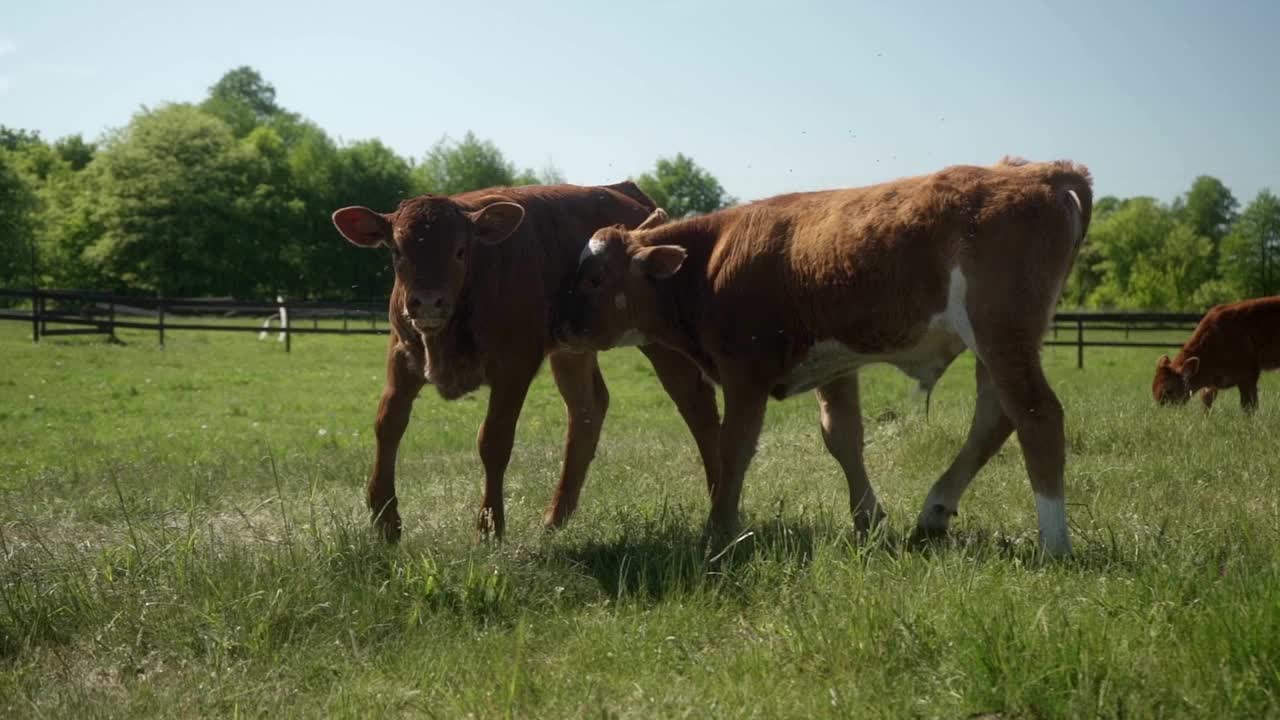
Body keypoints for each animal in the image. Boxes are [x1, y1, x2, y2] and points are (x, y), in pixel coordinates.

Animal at [330, 181, 721, 540]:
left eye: (460, 250)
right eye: (397, 250)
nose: (427, 302)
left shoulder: (514, 365)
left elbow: (494, 440)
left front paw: (489, 527)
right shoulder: (402, 354)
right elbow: (388, 424)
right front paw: (384, 519)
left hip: (661, 342)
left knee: (697, 407)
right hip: (573, 349)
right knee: (587, 408)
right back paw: (555, 517)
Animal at [560, 158, 1090, 556]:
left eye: (594, 278)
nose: (563, 327)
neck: (710, 262)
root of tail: (1043, 171)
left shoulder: (744, 373)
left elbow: (734, 448)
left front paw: (719, 530)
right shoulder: (836, 364)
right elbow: (842, 438)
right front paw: (868, 521)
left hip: (1001, 335)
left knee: (1038, 416)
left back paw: (1055, 544)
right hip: (998, 347)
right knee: (996, 417)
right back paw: (934, 513)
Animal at [1152, 295, 1280, 409]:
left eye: (1169, 390)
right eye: (1153, 389)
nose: (1162, 412)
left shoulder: (1248, 374)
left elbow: (1249, 407)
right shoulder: (1211, 385)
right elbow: (1206, 401)